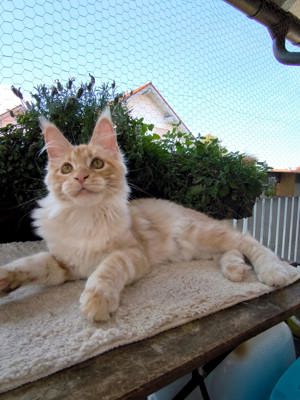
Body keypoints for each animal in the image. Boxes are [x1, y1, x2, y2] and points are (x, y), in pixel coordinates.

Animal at [0, 108, 298, 324]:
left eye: (96, 164)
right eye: (66, 168)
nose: (80, 177)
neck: (86, 217)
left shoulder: (132, 253)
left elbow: (107, 269)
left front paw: (97, 300)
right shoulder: (64, 263)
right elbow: (30, 264)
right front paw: (5, 280)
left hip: (195, 231)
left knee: (248, 241)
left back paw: (275, 271)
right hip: (199, 246)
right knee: (232, 249)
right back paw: (235, 268)